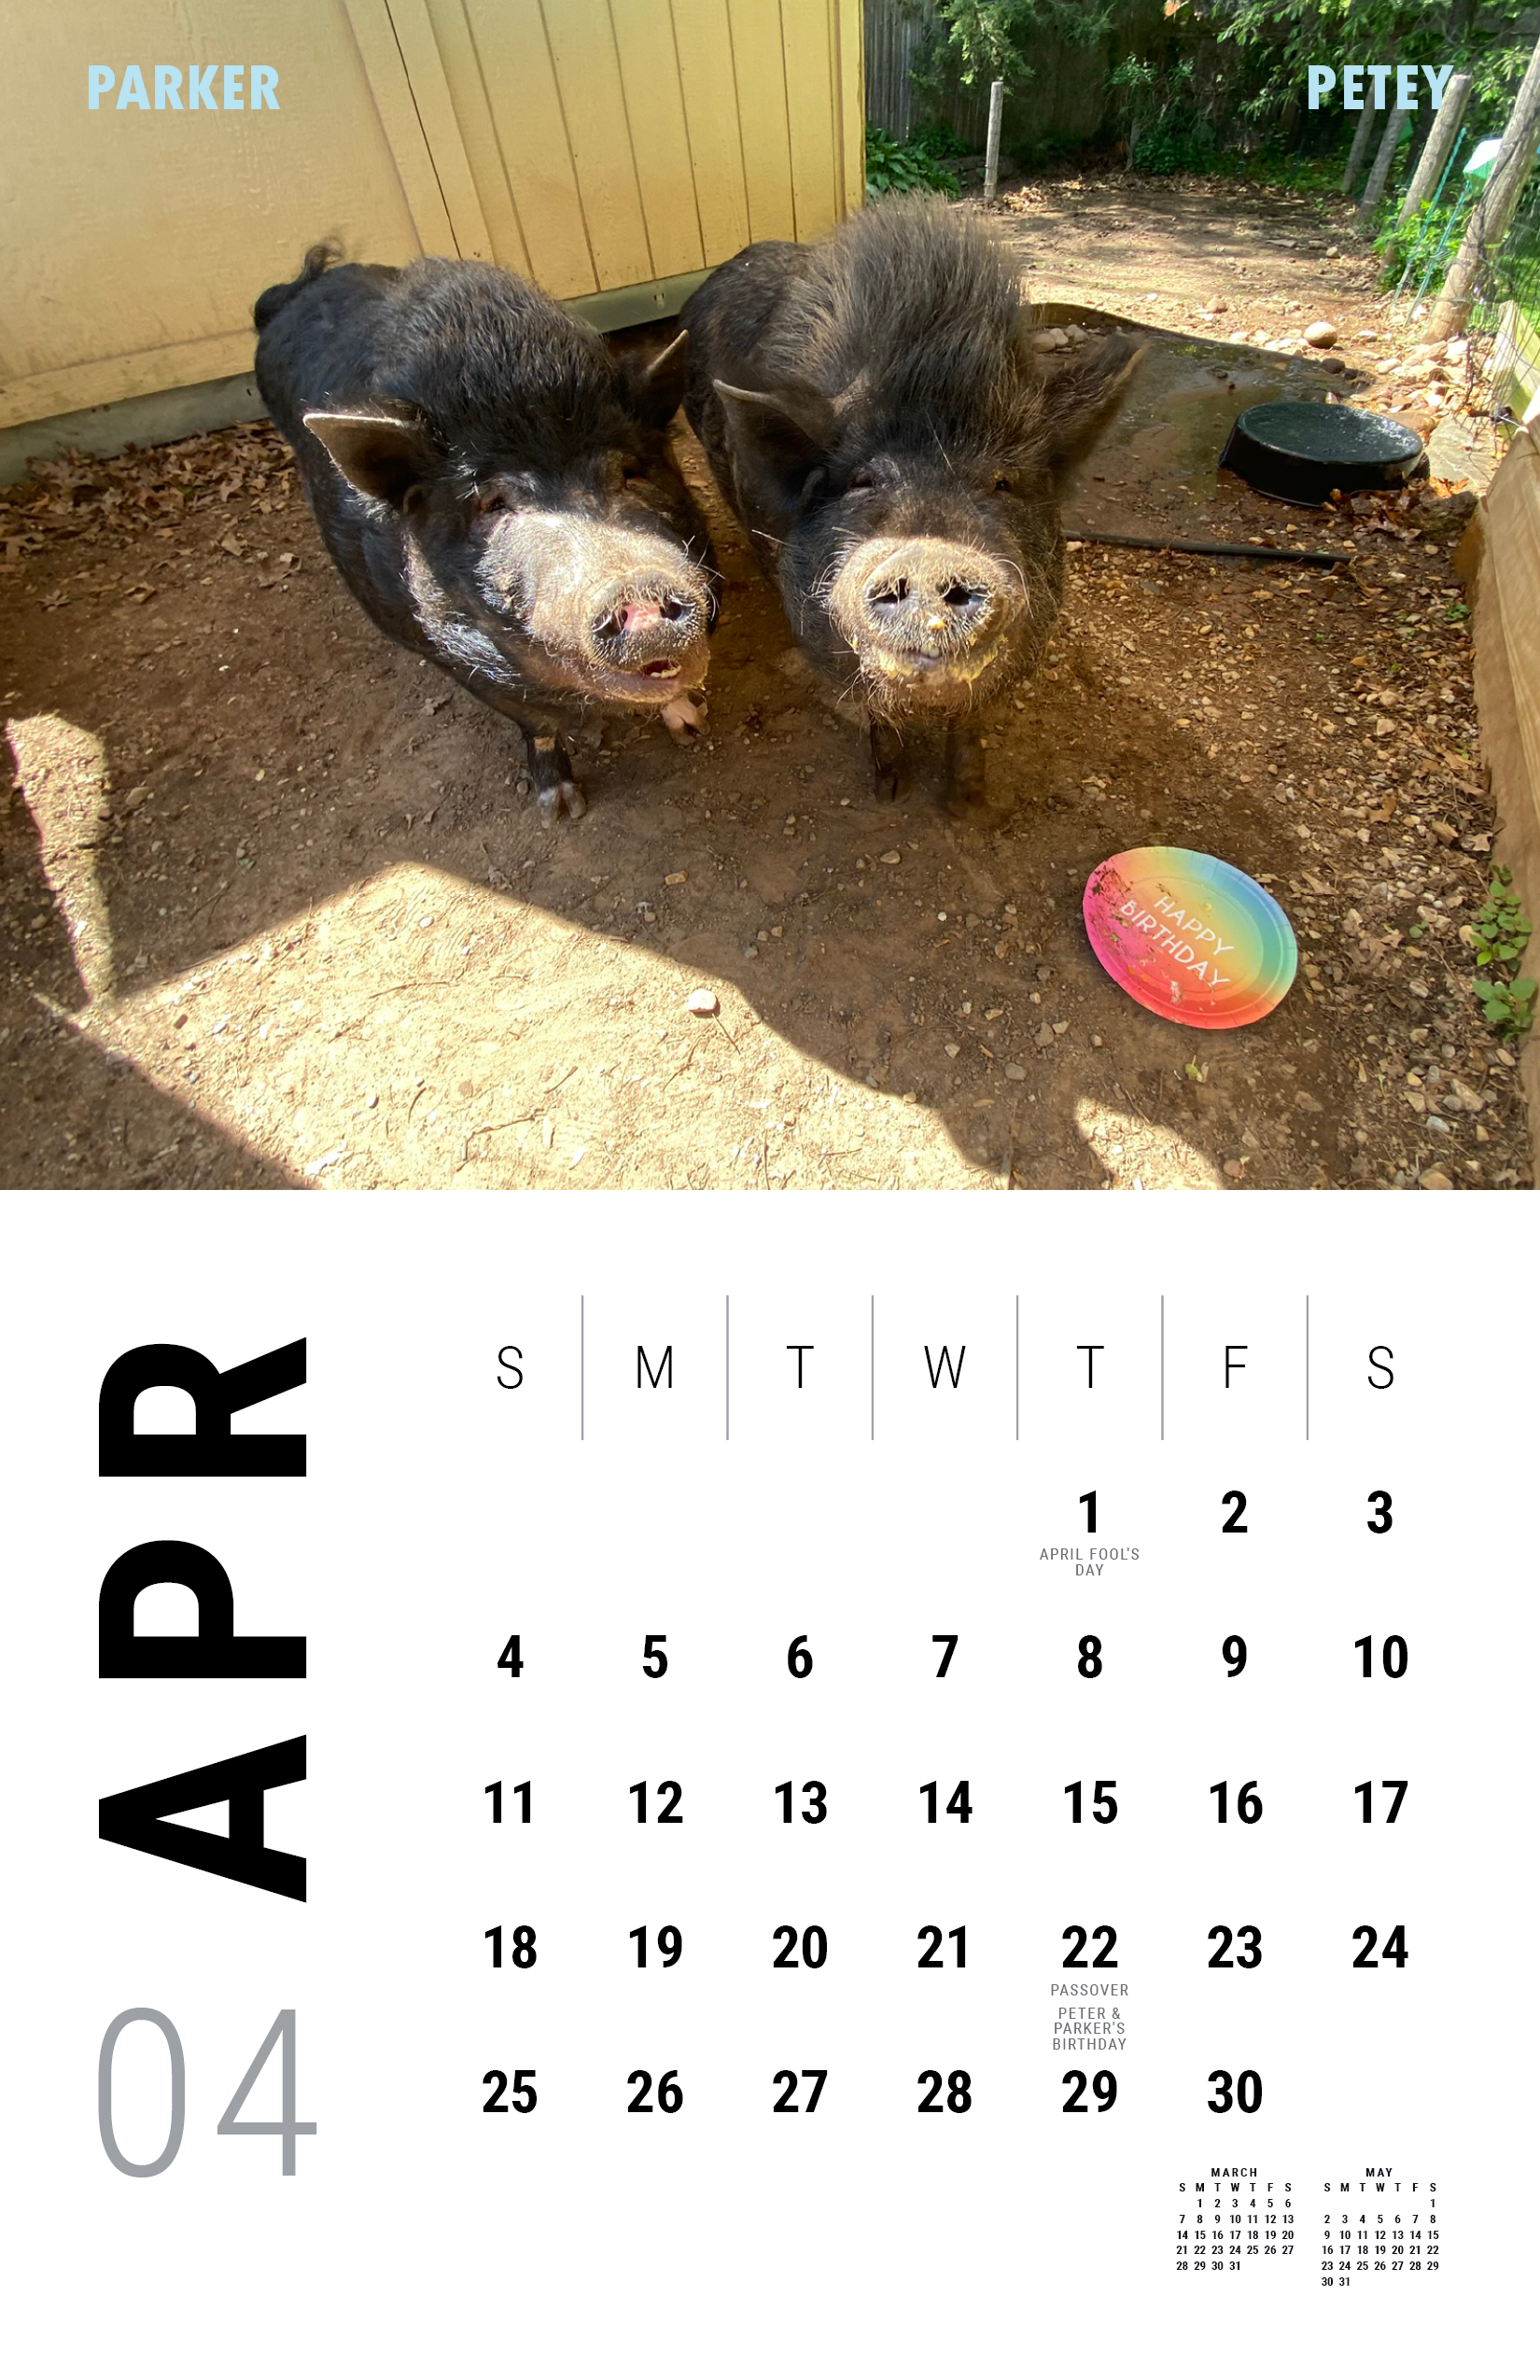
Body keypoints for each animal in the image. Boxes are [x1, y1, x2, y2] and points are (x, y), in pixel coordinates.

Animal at [254, 246, 715, 821]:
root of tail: (298, 289)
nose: (639, 588)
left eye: (630, 471)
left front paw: (694, 726)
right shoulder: (451, 653)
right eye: (494, 505)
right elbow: (536, 722)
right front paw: (562, 809)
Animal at [681, 197, 1140, 810]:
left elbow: (971, 716)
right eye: (862, 481)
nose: (928, 556)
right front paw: (890, 792)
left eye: (1002, 482)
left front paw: (966, 806)